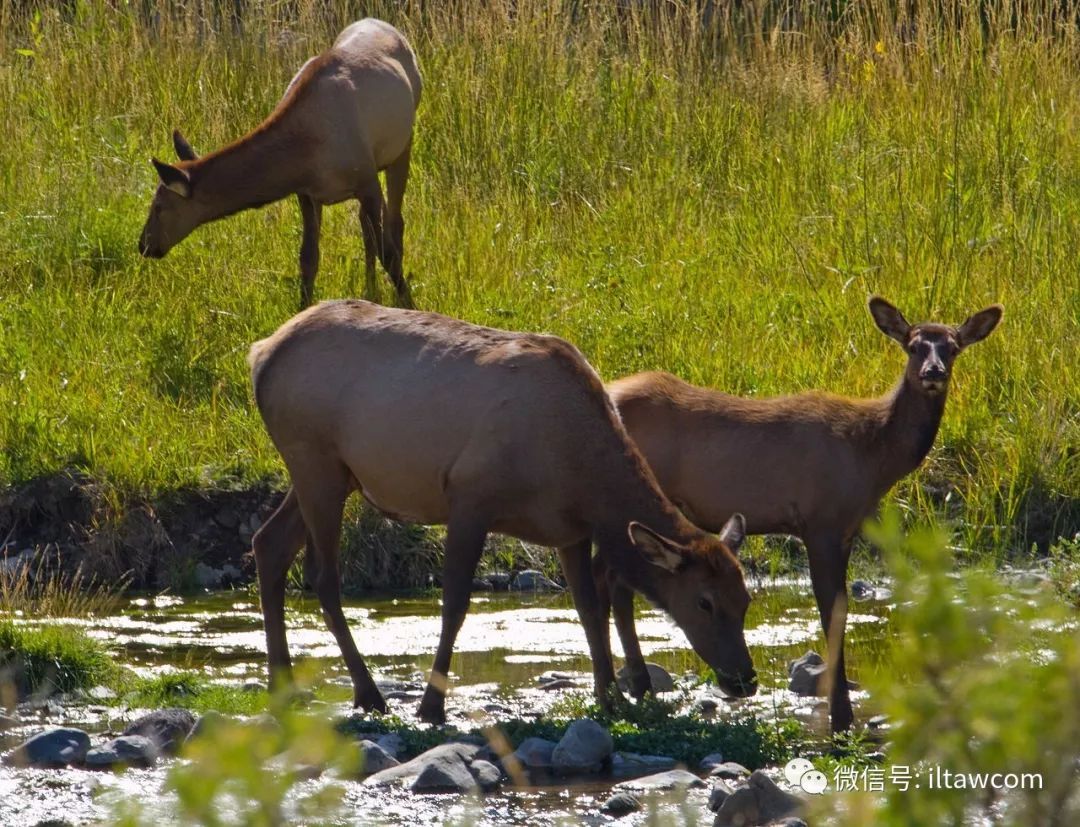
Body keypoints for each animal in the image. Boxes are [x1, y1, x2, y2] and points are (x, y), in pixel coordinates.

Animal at [139, 19, 416, 310]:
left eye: (158, 207)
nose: (143, 244)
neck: (303, 157)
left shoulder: (365, 181)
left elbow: (389, 253)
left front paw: (409, 303)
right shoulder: (307, 193)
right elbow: (308, 259)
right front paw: (303, 310)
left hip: (402, 146)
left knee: (395, 222)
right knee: (367, 227)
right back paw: (370, 289)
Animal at [249, 302, 760, 721]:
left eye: (745, 600)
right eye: (704, 601)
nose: (745, 680)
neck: (580, 475)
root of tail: (260, 353)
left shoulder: (569, 530)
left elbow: (588, 608)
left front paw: (609, 696)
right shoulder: (469, 497)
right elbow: (455, 605)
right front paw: (431, 706)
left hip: (330, 472)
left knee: (268, 543)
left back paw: (282, 685)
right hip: (314, 458)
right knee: (322, 575)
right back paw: (367, 692)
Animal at [596, 295, 997, 734]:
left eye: (952, 347)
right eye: (913, 345)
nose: (933, 372)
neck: (873, 455)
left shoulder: (847, 529)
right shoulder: (820, 521)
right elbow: (832, 613)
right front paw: (840, 718)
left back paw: (637, 687)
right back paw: (633, 688)